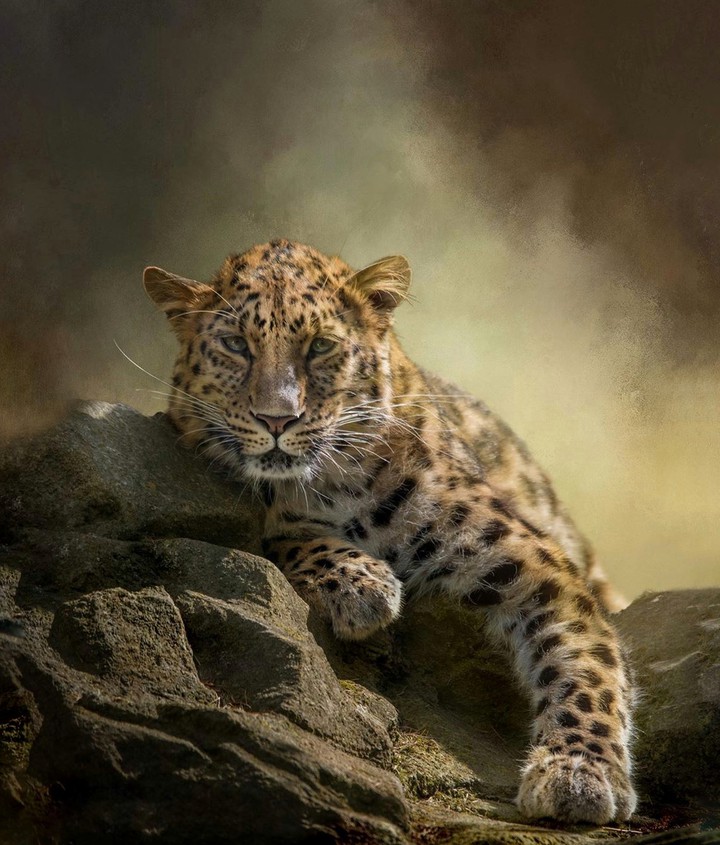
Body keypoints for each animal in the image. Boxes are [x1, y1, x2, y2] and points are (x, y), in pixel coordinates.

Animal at [143, 238, 637, 825]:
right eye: (235, 345)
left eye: (321, 346)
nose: (277, 420)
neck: (334, 484)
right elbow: (282, 533)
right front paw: (361, 585)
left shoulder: (535, 560)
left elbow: (585, 665)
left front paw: (581, 773)